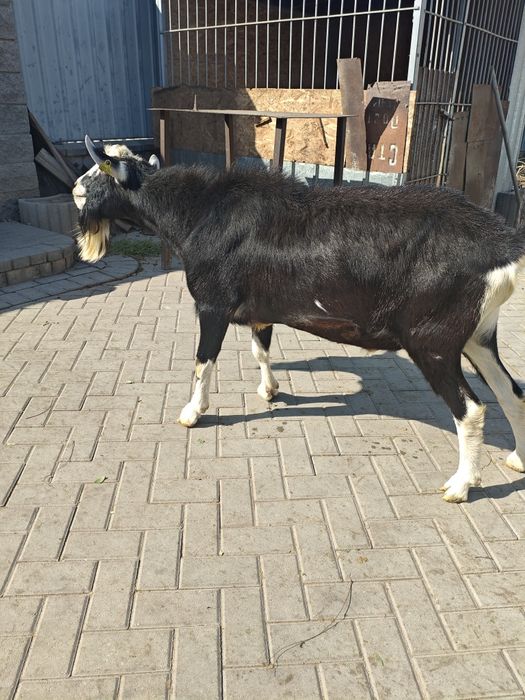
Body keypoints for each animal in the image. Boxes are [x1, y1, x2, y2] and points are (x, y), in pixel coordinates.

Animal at [73, 134, 525, 503]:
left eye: (99, 172)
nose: (75, 190)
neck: (199, 213)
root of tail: (502, 245)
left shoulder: (212, 305)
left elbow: (204, 360)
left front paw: (191, 413)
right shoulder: (261, 310)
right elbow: (260, 349)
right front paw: (270, 391)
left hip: (431, 341)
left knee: (471, 409)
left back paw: (460, 485)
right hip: (478, 335)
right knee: (511, 391)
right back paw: (517, 459)